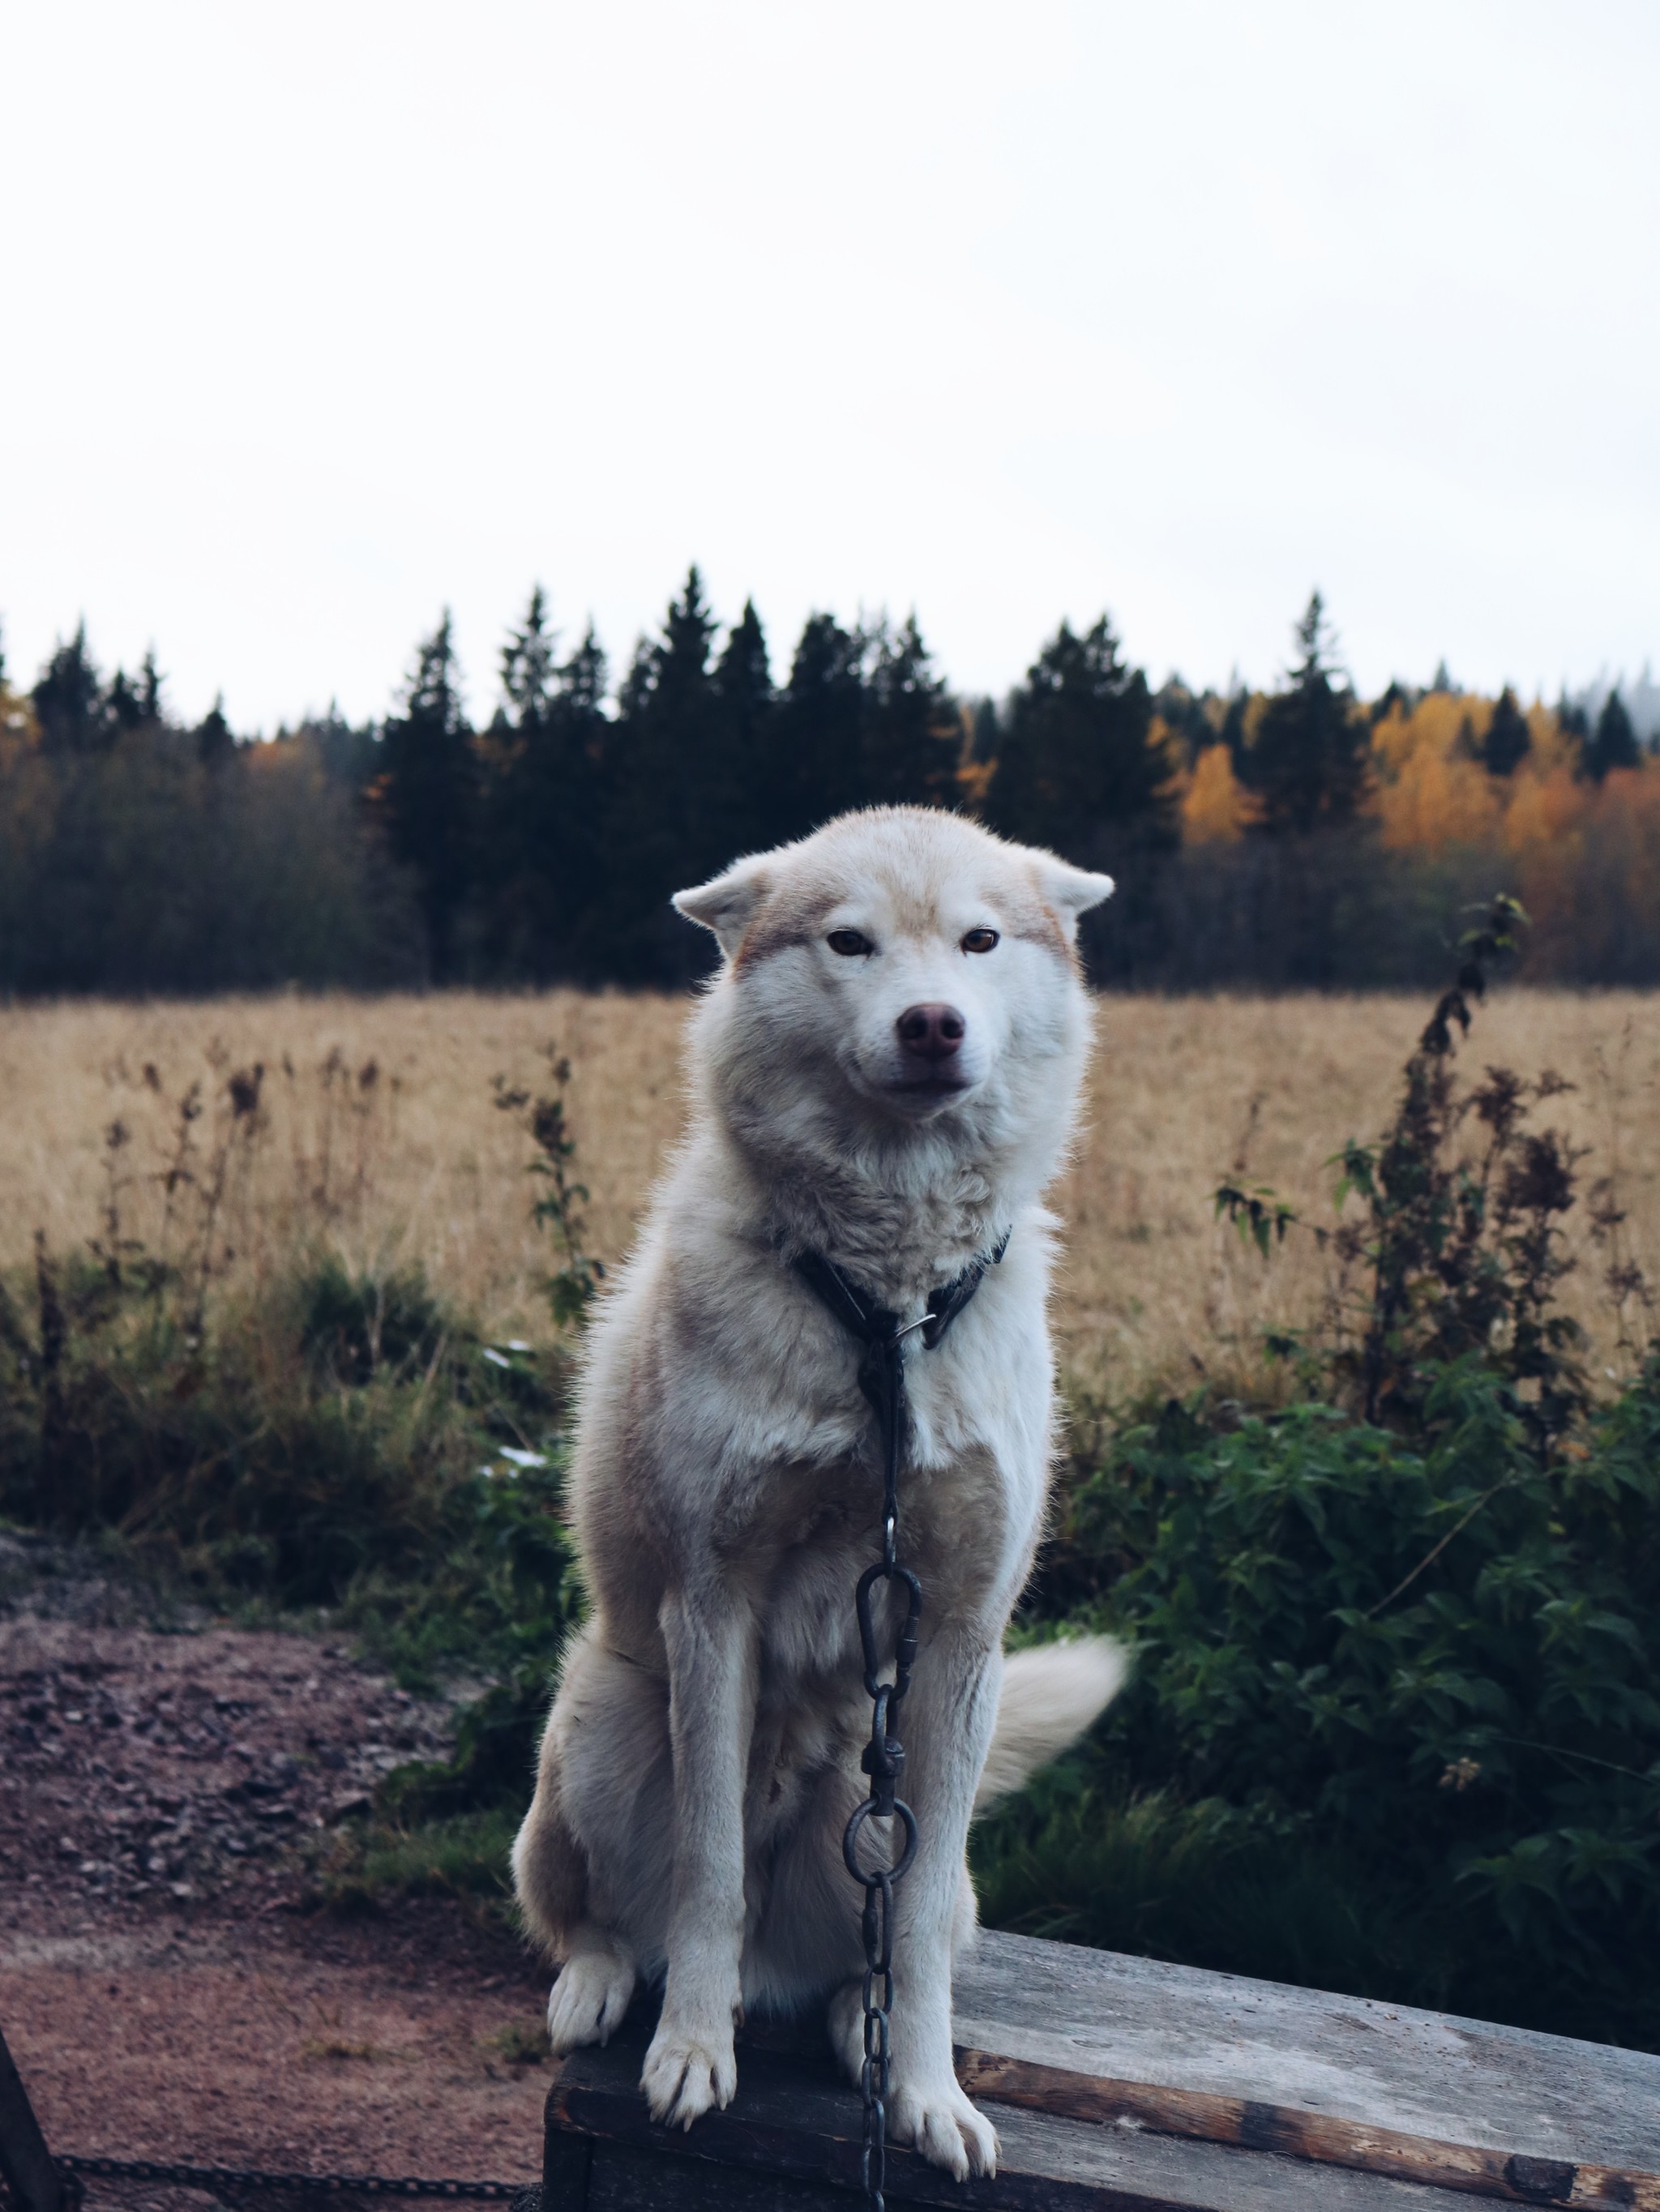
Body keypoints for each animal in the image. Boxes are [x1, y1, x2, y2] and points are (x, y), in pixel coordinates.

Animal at [513, 809, 1124, 2176]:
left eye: (980, 940)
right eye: (850, 943)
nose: (933, 1023)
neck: (885, 1311)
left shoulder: (962, 1636)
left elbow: (914, 1935)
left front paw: (929, 2094)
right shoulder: (712, 1605)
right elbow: (707, 1875)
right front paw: (690, 2054)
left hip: (879, 1798)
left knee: (886, 1940)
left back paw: (858, 2030)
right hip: (604, 1727)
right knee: (595, 1914)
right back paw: (602, 1987)